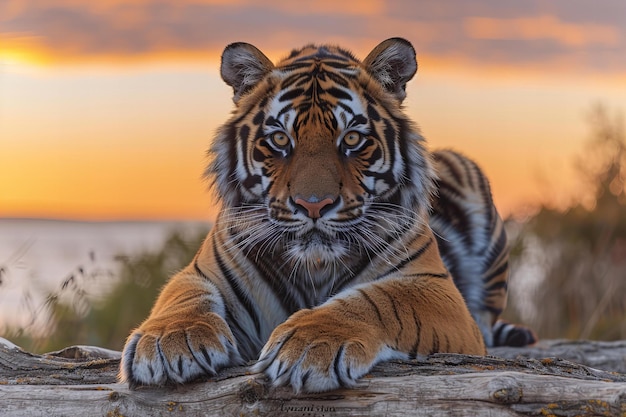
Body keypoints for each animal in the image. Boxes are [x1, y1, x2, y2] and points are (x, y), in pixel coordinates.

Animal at [117, 37, 532, 392]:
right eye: (280, 139)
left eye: (352, 139)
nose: (313, 204)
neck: (314, 266)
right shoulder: (203, 270)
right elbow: (182, 295)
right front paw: (170, 340)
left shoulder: (434, 288)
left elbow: (379, 300)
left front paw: (310, 344)